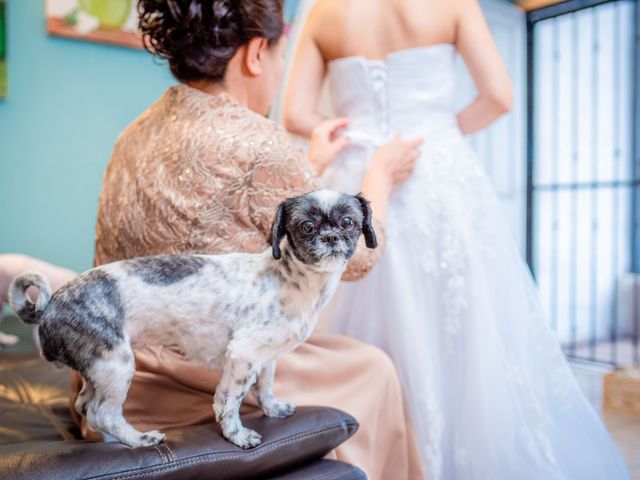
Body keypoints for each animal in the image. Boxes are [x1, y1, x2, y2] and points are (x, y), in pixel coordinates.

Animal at [8, 188, 376, 450]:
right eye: (306, 226)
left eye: (348, 223)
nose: (331, 237)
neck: (290, 281)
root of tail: (50, 305)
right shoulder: (242, 354)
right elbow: (230, 400)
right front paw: (237, 436)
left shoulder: (265, 355)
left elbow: (264, 386)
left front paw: (272, 408)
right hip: (115, 364)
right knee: (103, 412)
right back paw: (138, 440)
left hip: (97, 371)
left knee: (86, 407)